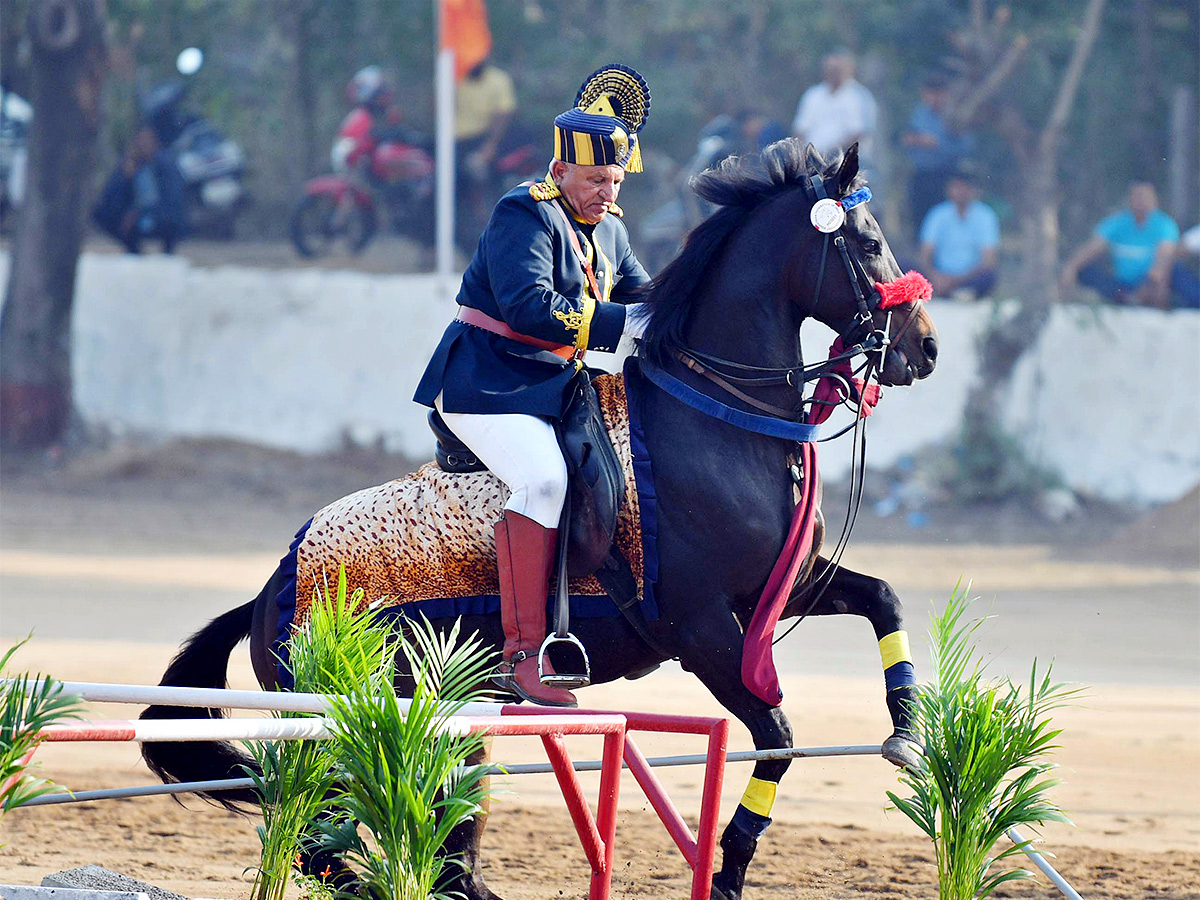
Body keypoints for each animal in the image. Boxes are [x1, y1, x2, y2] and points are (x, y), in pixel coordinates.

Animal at [142, 141, 936, 900]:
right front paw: (730, 869)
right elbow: (777, 736)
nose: (923, 347)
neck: (718, 419)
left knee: (431, 841)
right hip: (339, 716)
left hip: (448, 711)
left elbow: (884, 598)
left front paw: (905, 727)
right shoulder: (701, 627)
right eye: (868, 243)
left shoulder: (782, 586)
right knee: (314, 837)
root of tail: (272, 586)